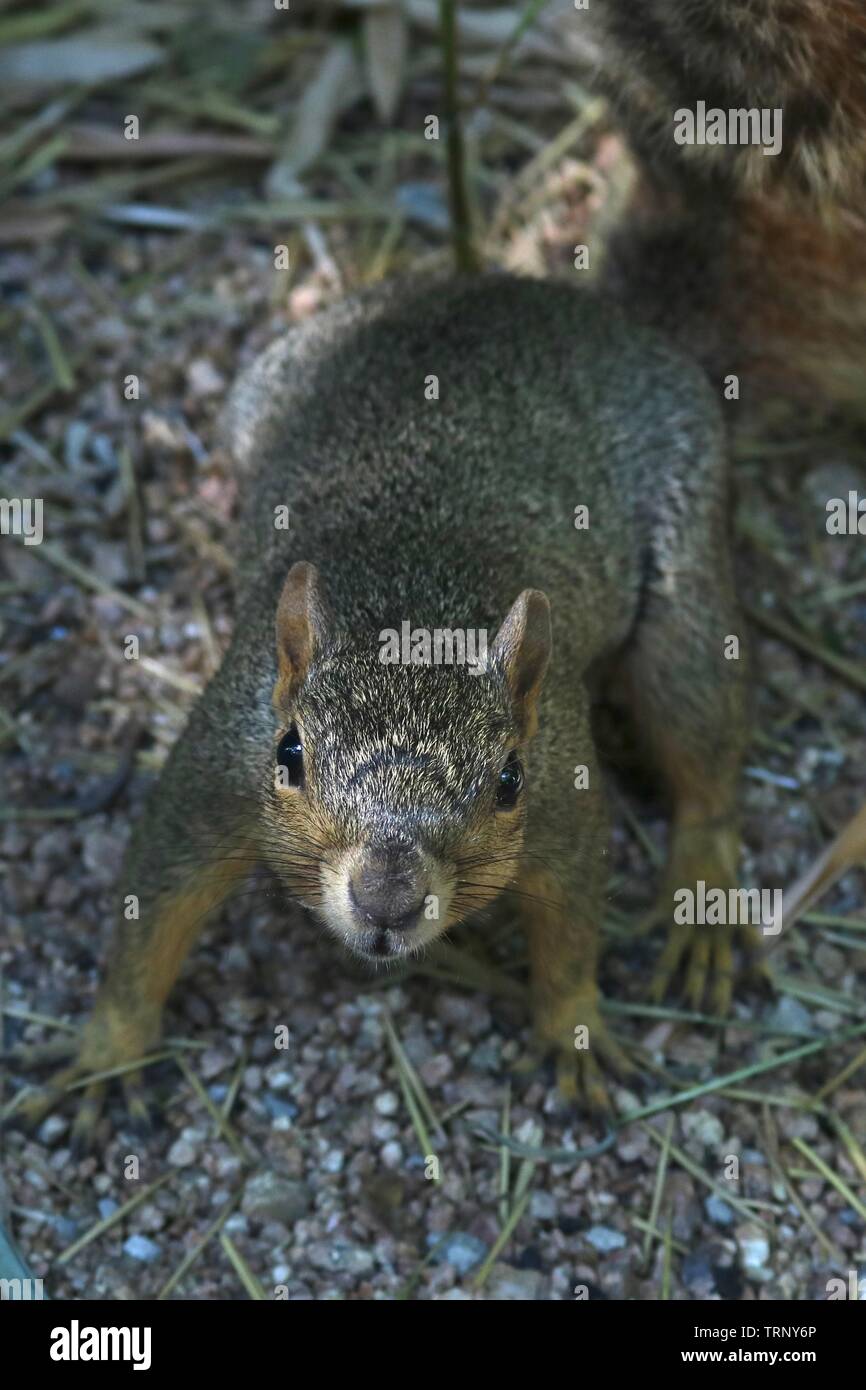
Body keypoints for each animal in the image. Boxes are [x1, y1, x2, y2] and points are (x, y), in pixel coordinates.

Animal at [16, 276, 767, 1145]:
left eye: (509, 781)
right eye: (289, 755)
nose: (387, 903)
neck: (412, 607)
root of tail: (527, 293)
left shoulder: (564, 796)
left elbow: (574, 921)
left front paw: (573, 1029)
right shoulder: (220, 764)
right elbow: (155, 904)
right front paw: (108, 1051)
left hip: (686, 573)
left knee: (704, 754)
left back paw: (702, 907)